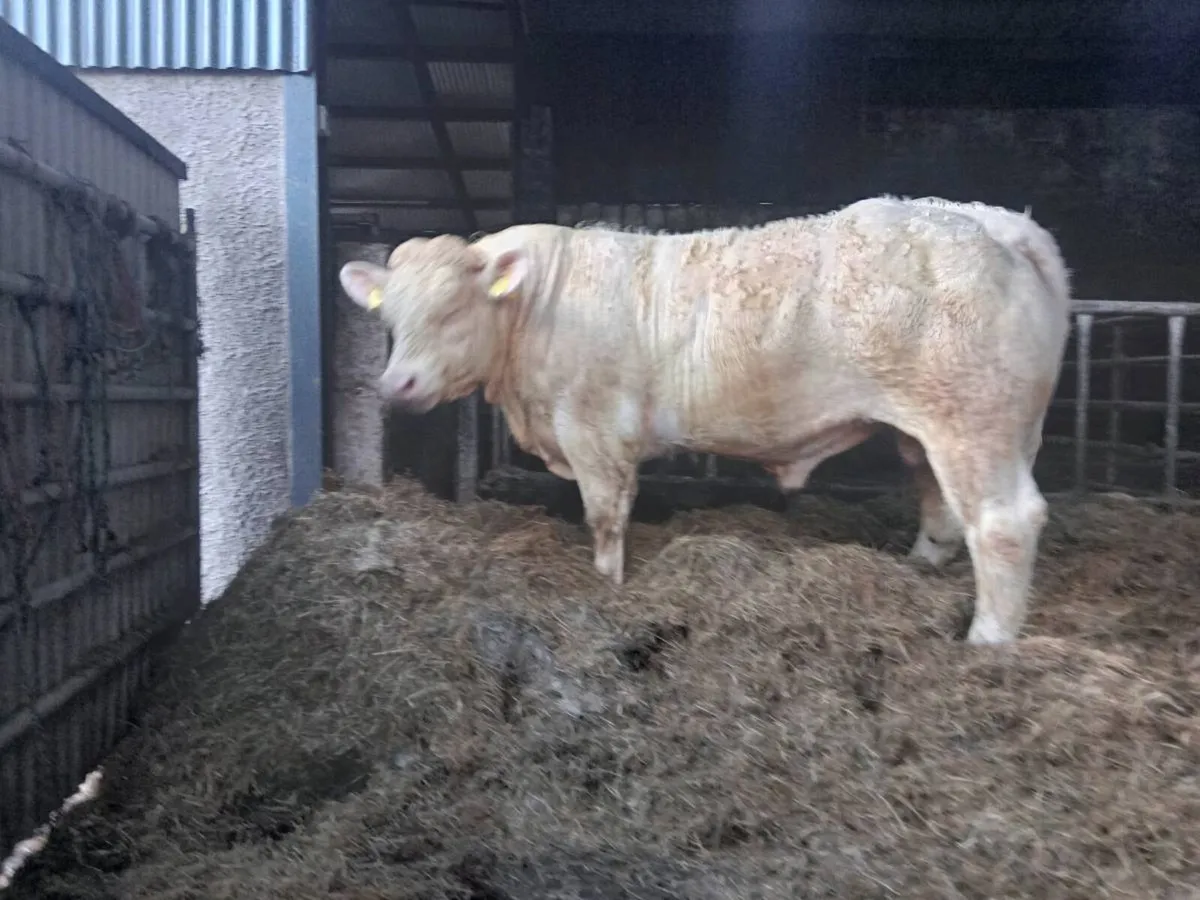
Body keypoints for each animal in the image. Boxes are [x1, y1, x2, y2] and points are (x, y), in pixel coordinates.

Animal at [338, 195, 1072, 645]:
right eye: (390, 318)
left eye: (451, 312)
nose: (397, 385)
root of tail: (997, 223)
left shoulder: (595, 431)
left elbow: (605, 518)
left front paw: (607, 586)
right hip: (949, 427)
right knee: (942, 504)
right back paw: (921, 571)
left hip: (970, 420)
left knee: (1003, 523)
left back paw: (989, 639)